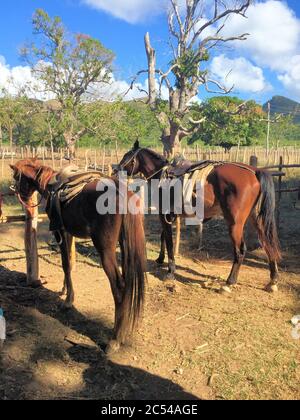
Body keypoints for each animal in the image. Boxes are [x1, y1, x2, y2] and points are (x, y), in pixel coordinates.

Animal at [9, 159, 145, 352]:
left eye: (16, 177)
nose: (24, 199)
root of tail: (121, 193)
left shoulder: (59, 231)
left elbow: (65, 263)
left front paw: (68, 301)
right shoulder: (68, 233)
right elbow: (70, 264)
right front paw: (65, 290)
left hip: (105, 250)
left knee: (119, 286)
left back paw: (114, 339)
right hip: (125, 245)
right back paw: (123, 331)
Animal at [118, 143, 282, 294]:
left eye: (127, 156)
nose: (117, 169)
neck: (162, 176)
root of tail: (254, 171)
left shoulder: (164, 216)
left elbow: (169, 242)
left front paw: (170, 271)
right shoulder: (168, 216)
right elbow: (163, 237)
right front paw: (160, 259)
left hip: (235, 223)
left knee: (240, 251)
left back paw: (229, 283)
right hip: (257, 218)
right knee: (268, 244)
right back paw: (273, 281)